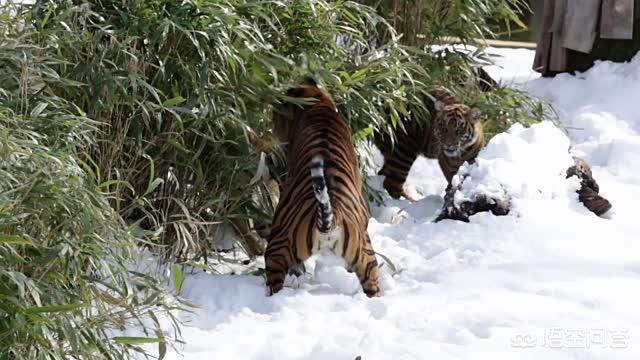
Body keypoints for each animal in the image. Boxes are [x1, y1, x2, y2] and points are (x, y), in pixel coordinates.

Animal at [264, 77, 380, 296]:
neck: (317, 102)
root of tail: (330, 220)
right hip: (366, 258)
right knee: (373, 284)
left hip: (277, 246)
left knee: (274, 282)